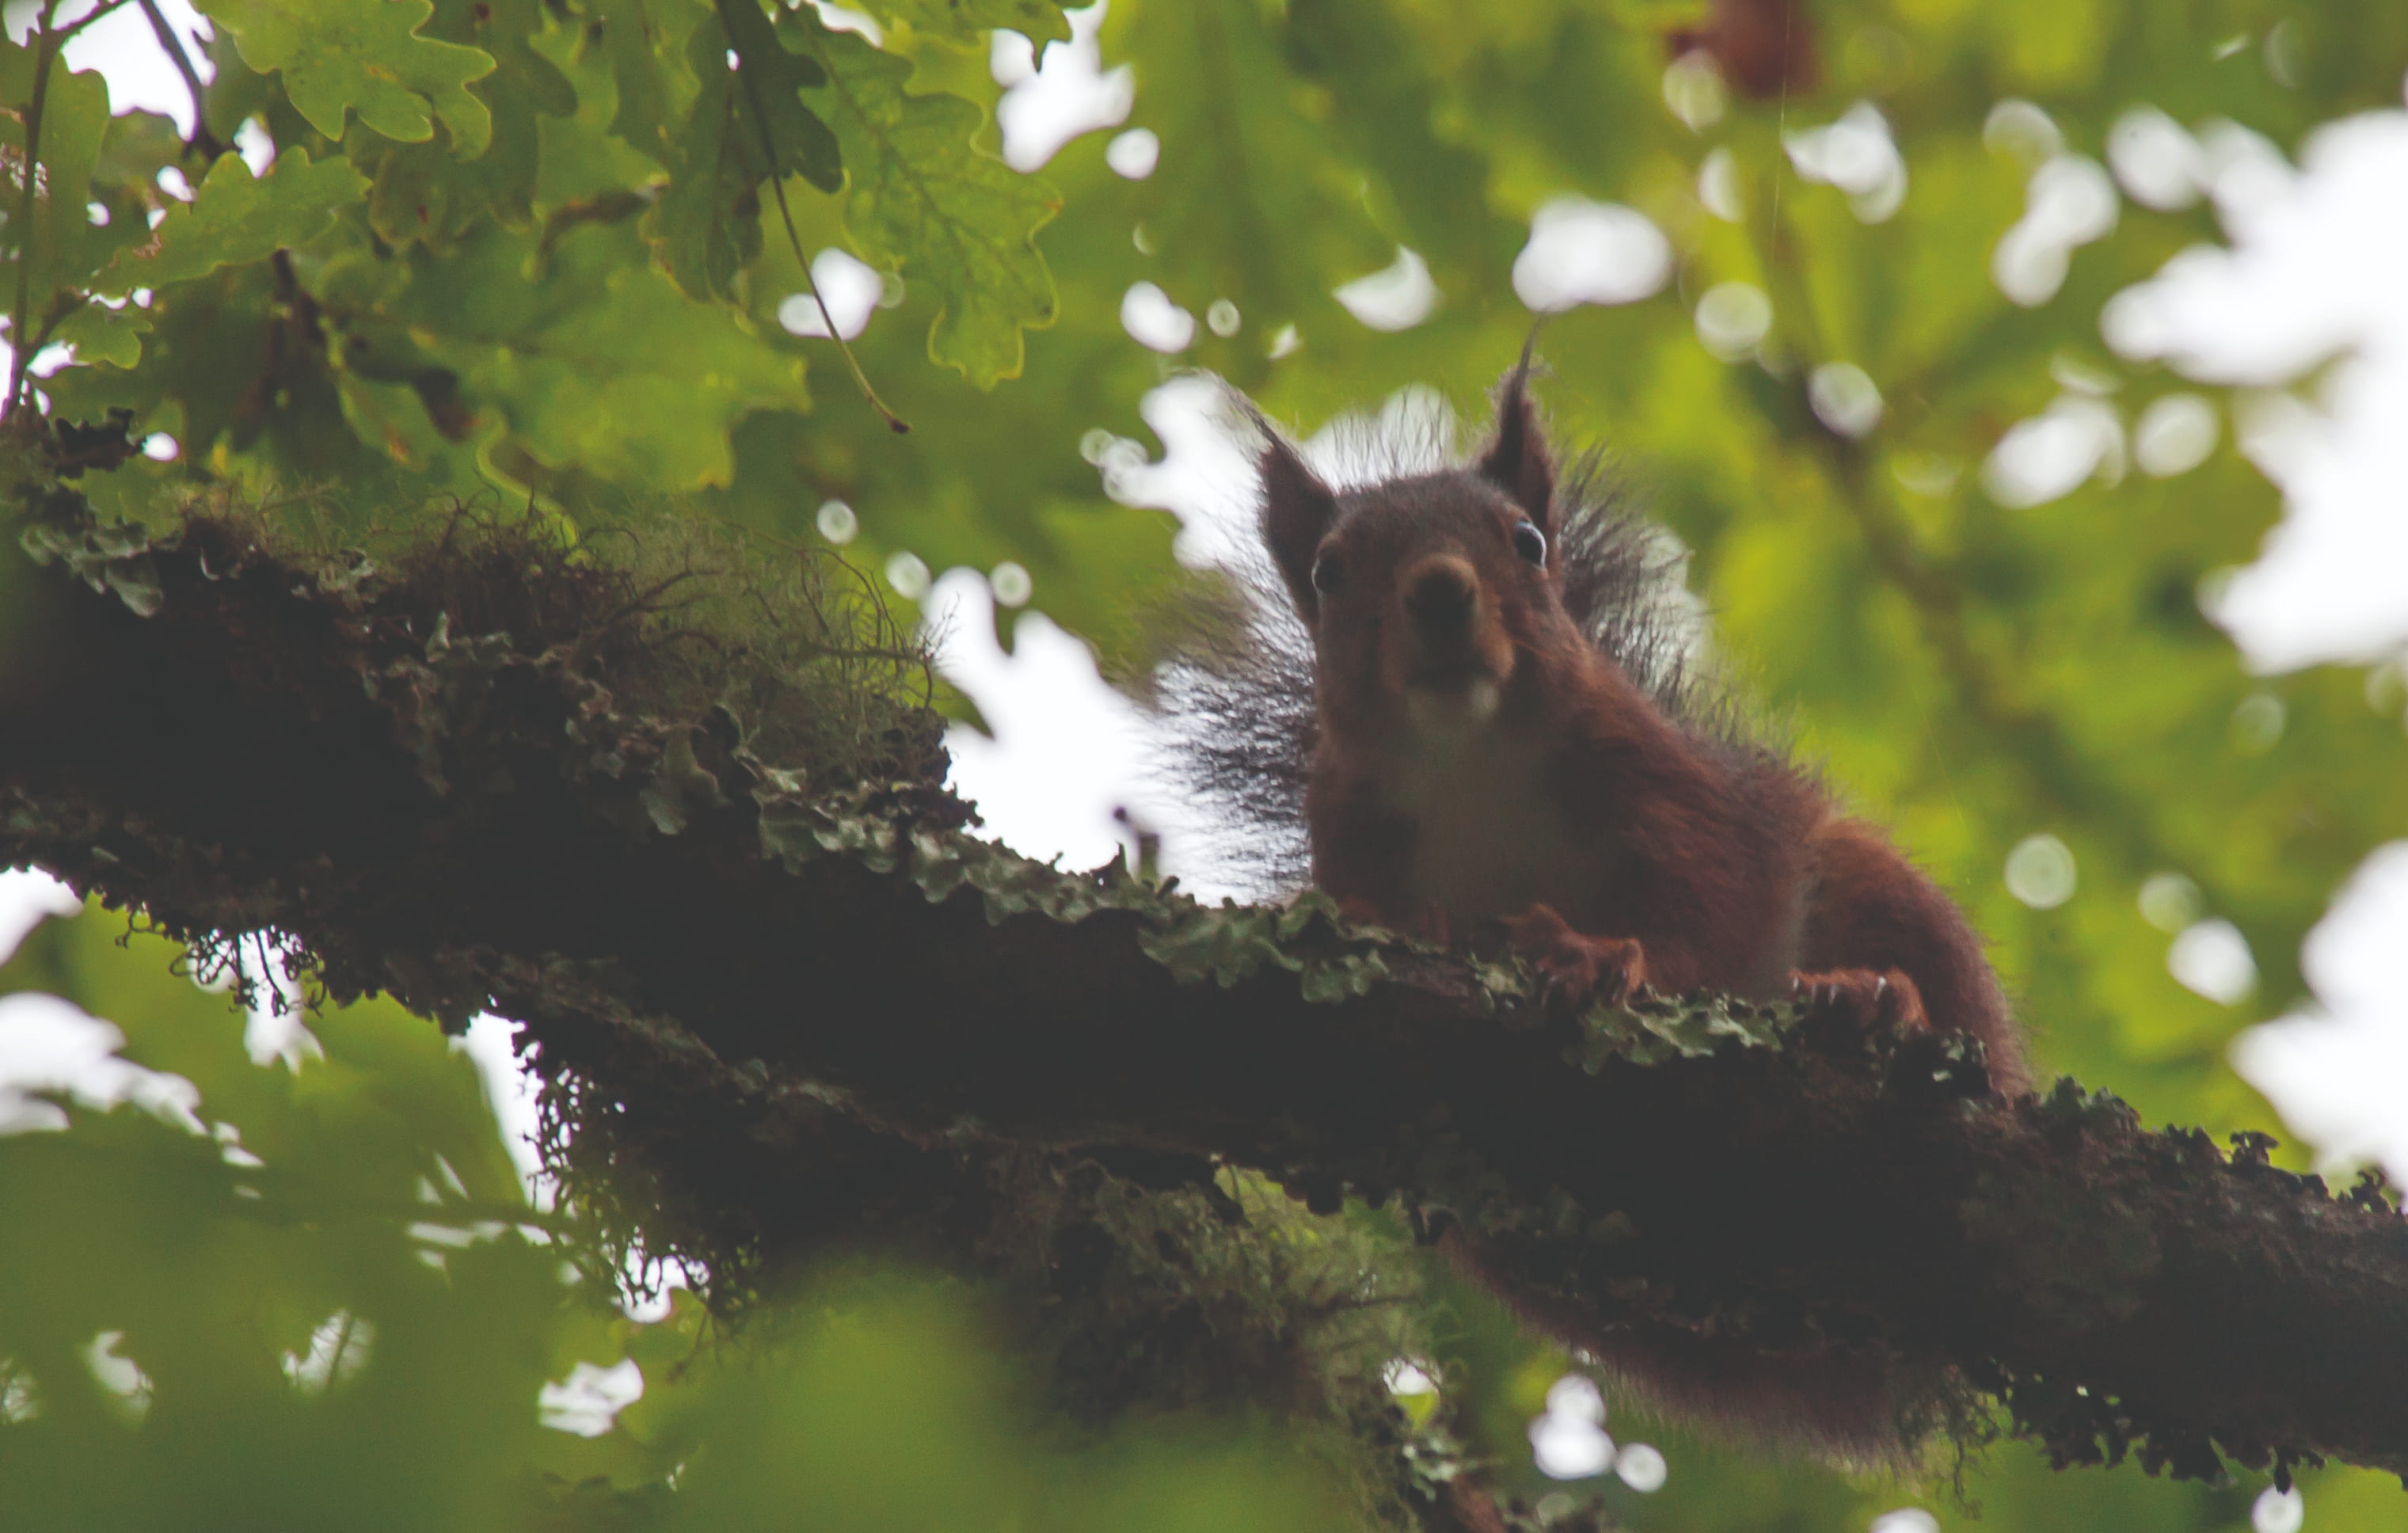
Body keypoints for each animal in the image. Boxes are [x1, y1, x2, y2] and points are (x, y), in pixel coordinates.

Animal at [1242, 356, 2032, 1463]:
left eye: (1526, 543)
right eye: (1326, 572)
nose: (1439, 590)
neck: (1465, 757)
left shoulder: (1676, 791)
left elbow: (1710, 903)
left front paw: (1601, 956)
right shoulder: (1344, 822)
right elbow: (1356, 900)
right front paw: (1397, 929)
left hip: (1882, 898)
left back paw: (1878, 1005)